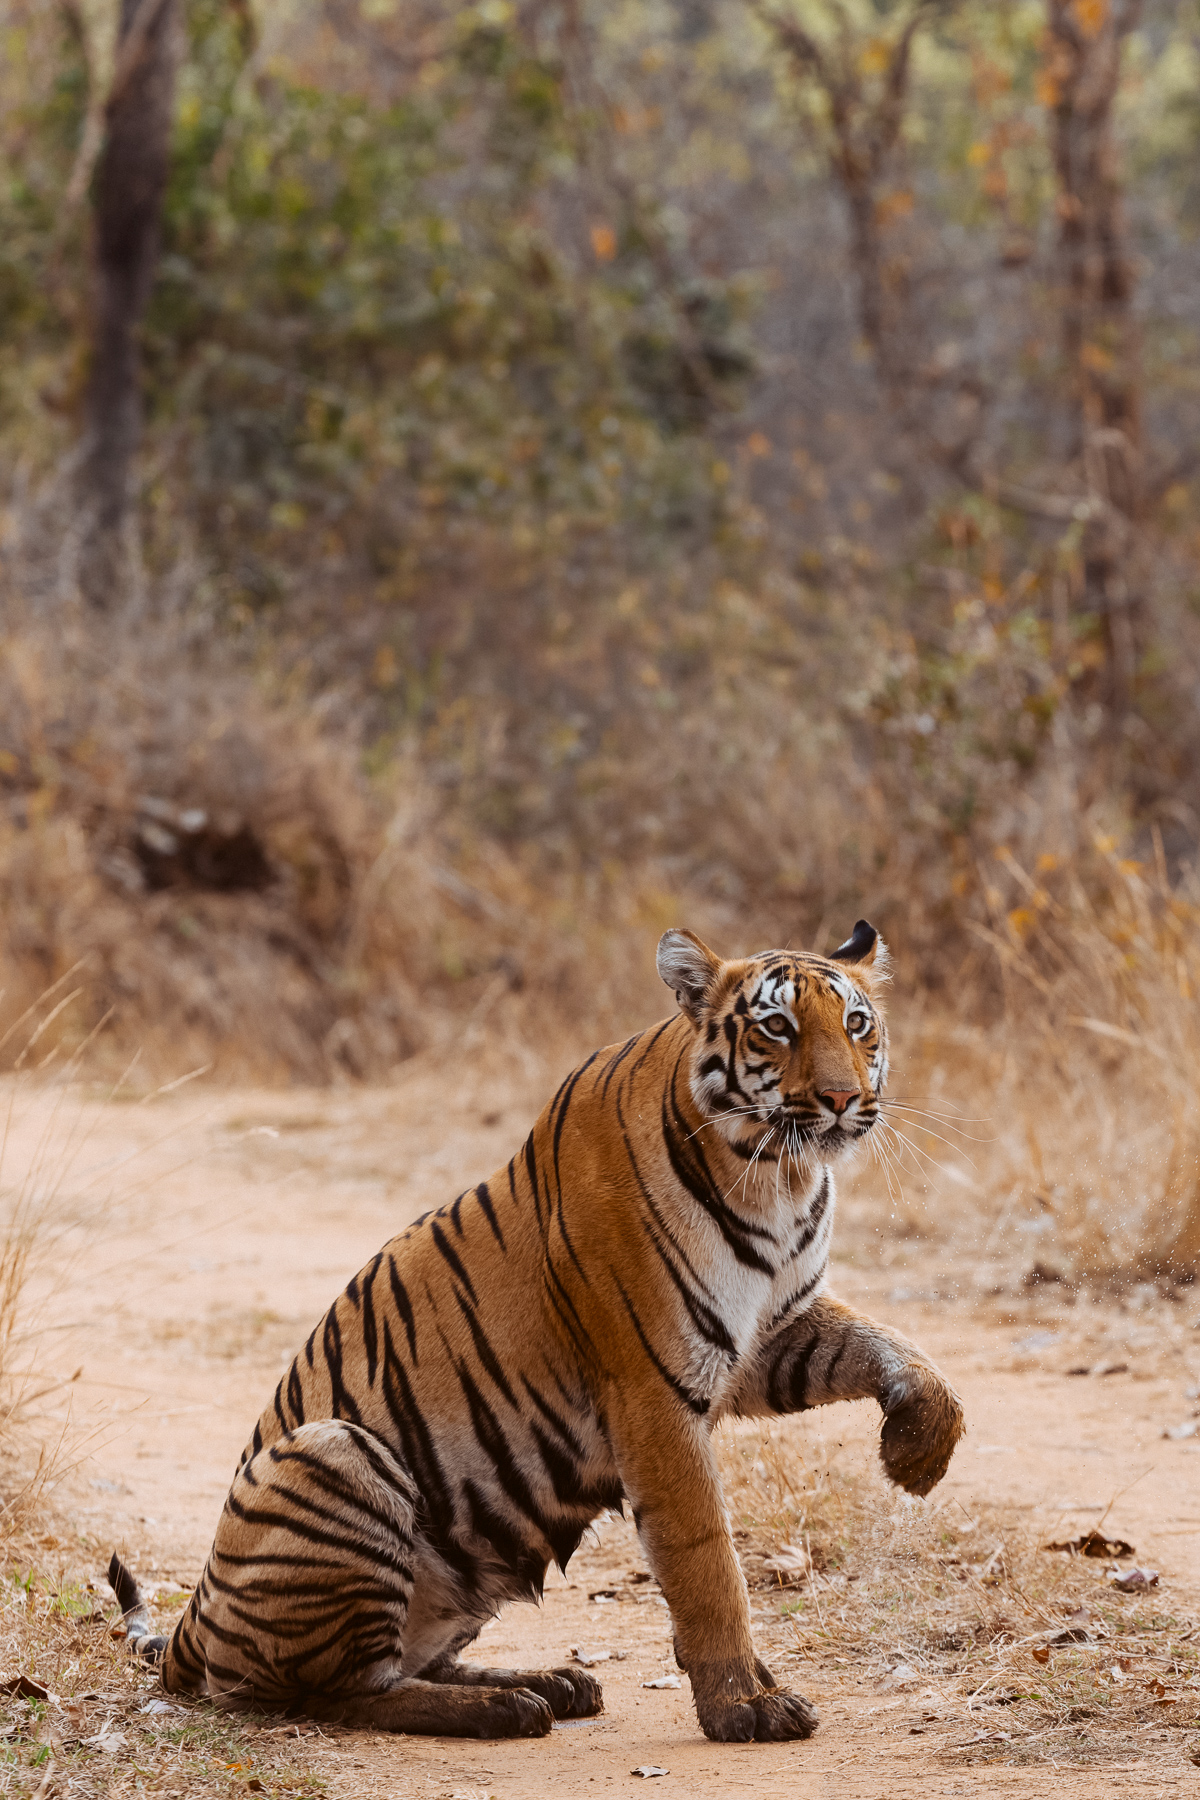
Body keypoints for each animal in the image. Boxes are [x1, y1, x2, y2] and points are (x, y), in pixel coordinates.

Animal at [110, 919, 964, 1744]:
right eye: (778, 1027)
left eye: (857, 1024)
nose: (842, 1098)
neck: (779, 1177)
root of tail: (195, 1618)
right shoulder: (655, 1384)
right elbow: (708, 1564)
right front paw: (743, 1708)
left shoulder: (770, 1334)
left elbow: (898, 1349)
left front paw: (918, 1451)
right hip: (333, 1451)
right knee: (341, 1691)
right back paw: (503, 1709)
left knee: (409, 1662)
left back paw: (549, 1684)